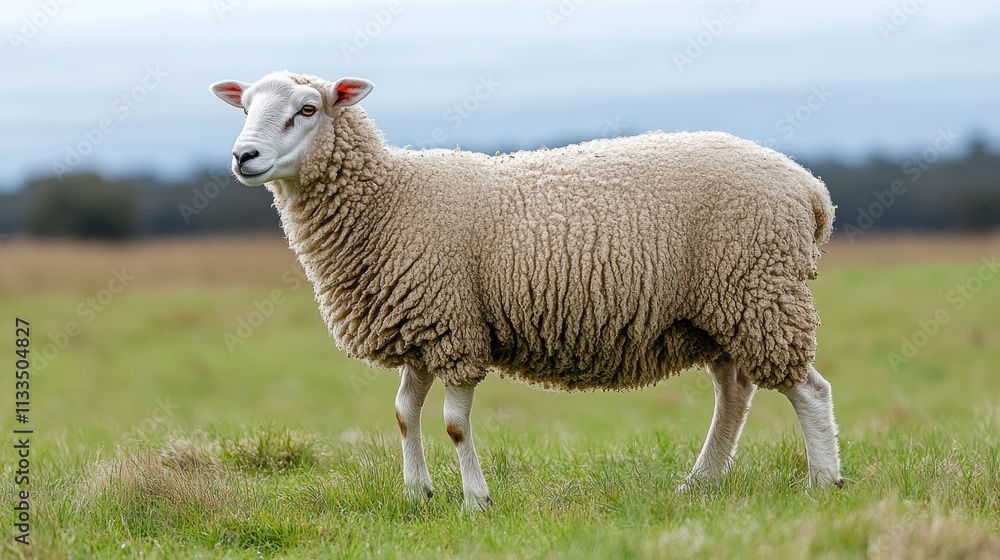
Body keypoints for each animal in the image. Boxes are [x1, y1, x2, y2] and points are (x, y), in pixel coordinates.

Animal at [210, 71, 844, 510]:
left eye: (307, 109)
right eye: (244, 107)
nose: (244, 156)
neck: (391, 198)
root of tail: (811, 189)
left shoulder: (455, 328)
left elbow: (453, 423)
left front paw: (476, 501)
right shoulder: (420, 324)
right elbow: (404, 414)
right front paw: (418, 495)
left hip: (759, 289)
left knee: (809, 390)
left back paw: (824, 482)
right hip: (721, 309)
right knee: (735, 392)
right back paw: (701, 483)